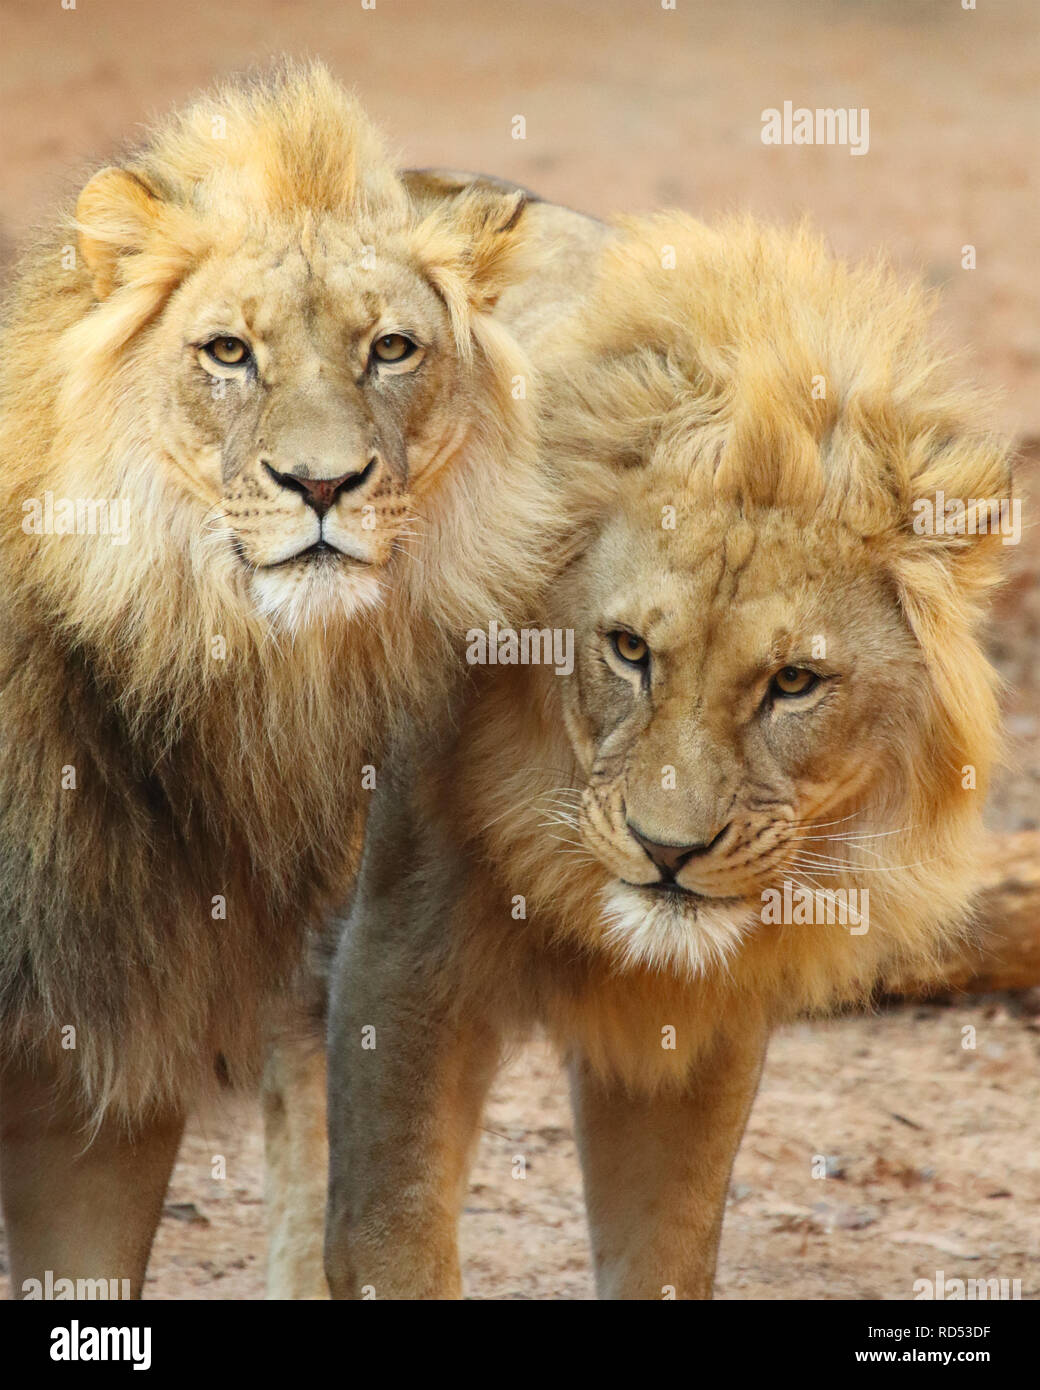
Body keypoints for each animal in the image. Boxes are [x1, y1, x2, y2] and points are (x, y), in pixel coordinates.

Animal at [321, 211, 1012, 1295]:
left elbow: (666, 1254)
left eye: (792, 682)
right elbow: (391, 1239)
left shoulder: (699, 1020)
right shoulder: (394, 960)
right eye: (628, 649)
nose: (668, 852)